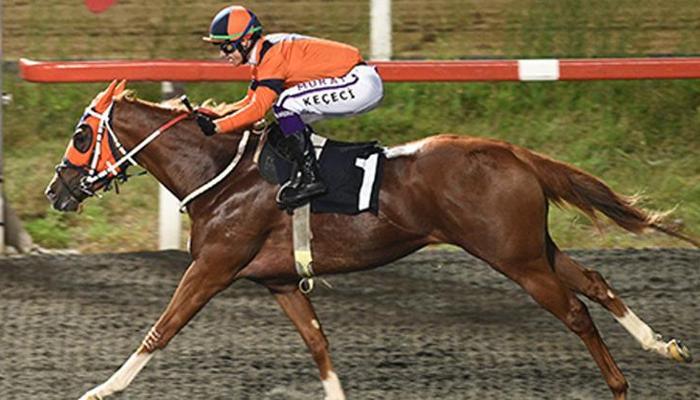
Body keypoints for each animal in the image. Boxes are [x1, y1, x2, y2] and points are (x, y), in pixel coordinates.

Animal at [44, 80, 697, 400]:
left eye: (81, 135)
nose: (57, 190)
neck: (222, 174)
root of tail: (513, 152)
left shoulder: (213, 265)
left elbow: (161, 329)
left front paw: (99, 389)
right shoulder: (278, 279)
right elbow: (318, 344)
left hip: (513, 257)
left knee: (574, 310)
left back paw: (620, 386)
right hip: (531, 245)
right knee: (595, 282)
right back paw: (663, 346)